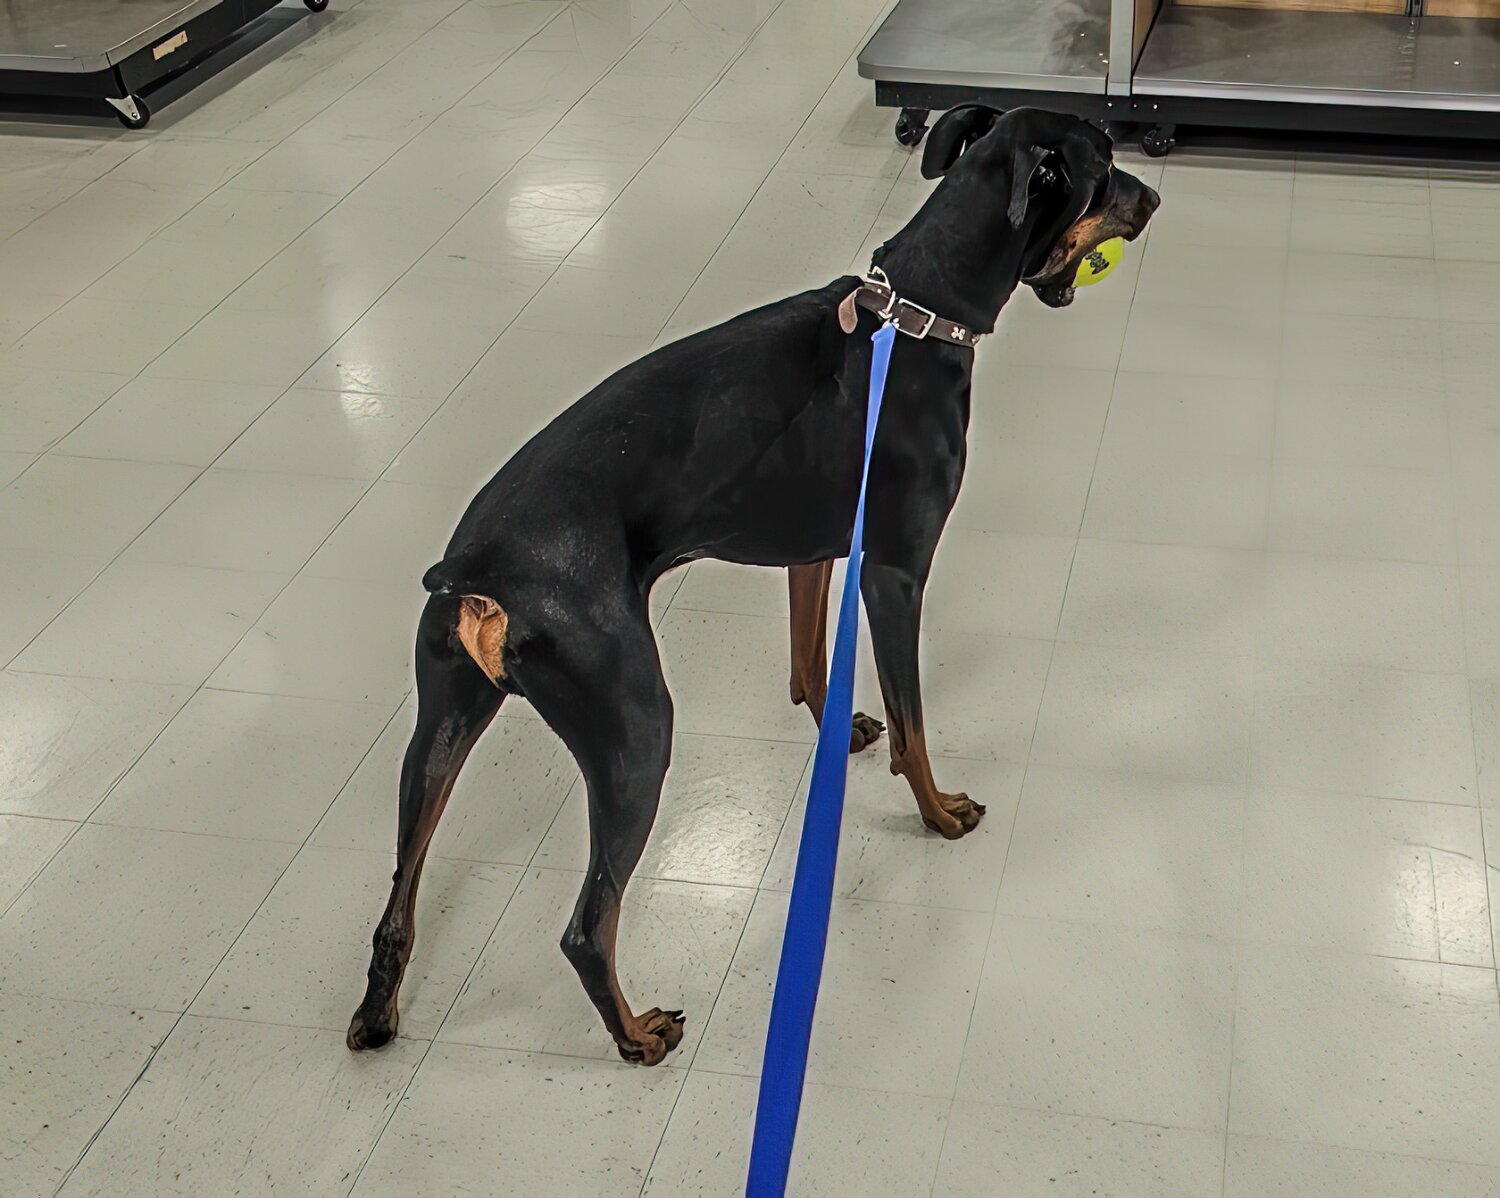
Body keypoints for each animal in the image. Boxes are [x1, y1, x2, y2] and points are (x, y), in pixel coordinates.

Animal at [347, 106, 1159, 1066]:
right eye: (1105, 168)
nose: (1155, 197)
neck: (918, 314)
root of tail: (479, 570)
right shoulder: (895, 574)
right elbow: (916, 727)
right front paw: (939, 811)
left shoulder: (816, 552)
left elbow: (811, 665)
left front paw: (843, 731)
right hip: (634, 725)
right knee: (587, 925)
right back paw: (637, 1034)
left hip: (442, 721)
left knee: (399, 895)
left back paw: (377, 1013)